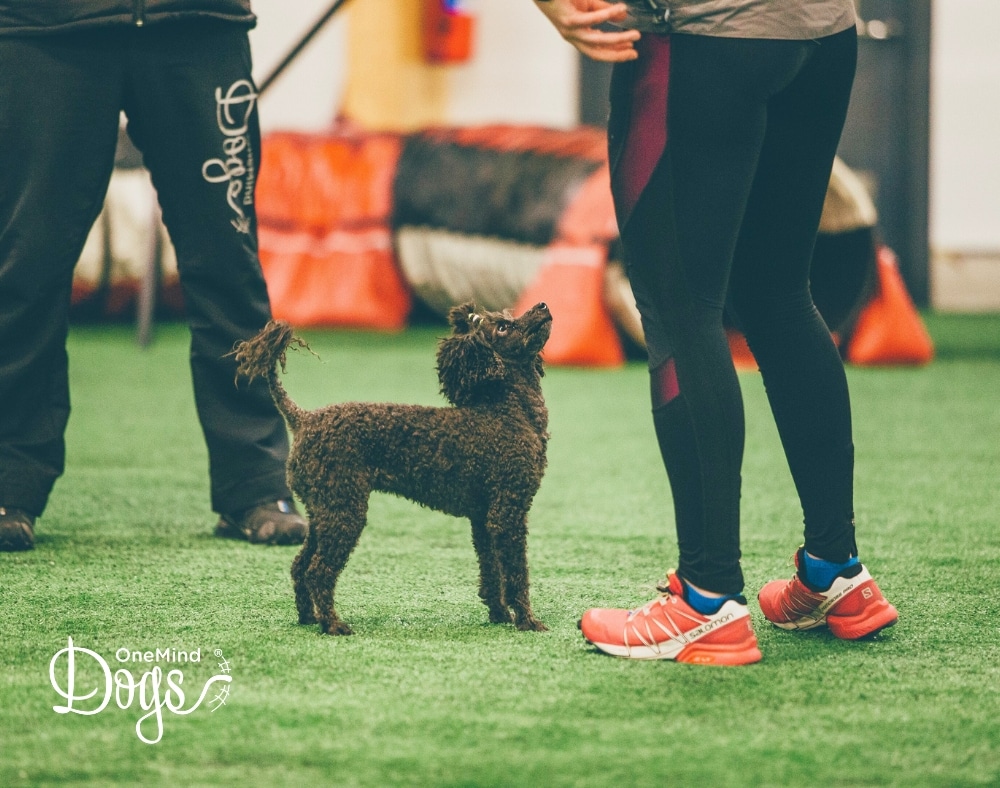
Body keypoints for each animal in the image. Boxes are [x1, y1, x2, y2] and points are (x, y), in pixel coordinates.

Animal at [233, 300, 552, 636]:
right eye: (502, 327)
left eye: (507, 315)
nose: (542, 305)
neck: (507, 411)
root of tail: (304, 419)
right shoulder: (508, 513)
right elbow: (516, 574)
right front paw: (527, 621)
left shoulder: (483, 518)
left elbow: (491, 573)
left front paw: (500, 615)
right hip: (344, 510)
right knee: (318, 571)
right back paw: (333, 624)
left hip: (323, 510)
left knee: (300, 566)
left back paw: (309, 617)